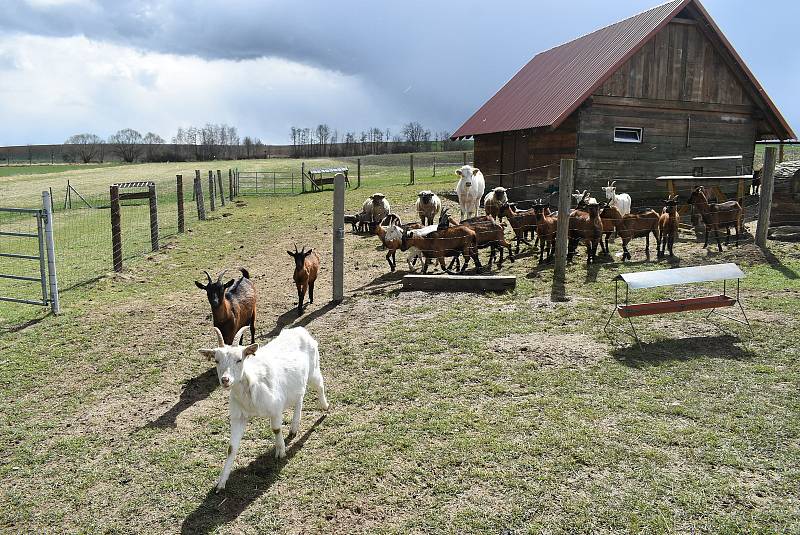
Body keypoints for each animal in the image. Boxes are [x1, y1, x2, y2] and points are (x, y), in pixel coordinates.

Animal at [202, 324, 330, 492]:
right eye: (216, 360)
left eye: (239, 359)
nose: (225, 380)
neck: (252, 383)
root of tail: (300, 330)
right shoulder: (239, 417)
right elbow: (231, 448)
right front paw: (221, 483)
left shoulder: (275, 407)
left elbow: (276, 429)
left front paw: (280, 451)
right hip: (297, 383)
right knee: (300, 397)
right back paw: (294, 428)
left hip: (313, 370)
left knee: (319, 385)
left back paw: (325, 407)